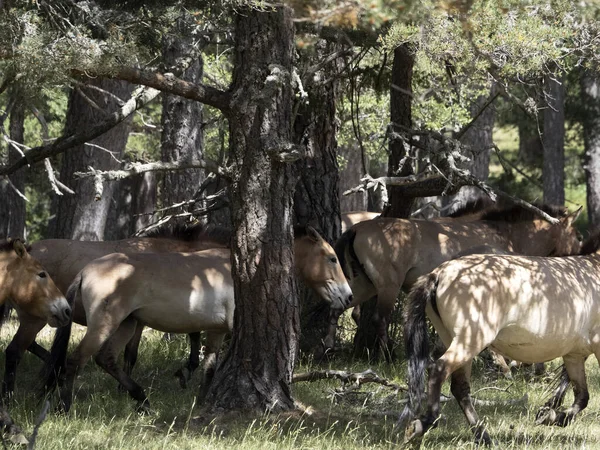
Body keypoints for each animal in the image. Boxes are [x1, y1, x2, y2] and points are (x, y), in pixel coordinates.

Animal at [41, 227, 352, 414]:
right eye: (332, 258)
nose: (347, 297)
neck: (242, 271)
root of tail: (86, 271)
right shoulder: (229, 329)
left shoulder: (216, 330)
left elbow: (209, 367)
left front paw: (202, 401)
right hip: (105, 324)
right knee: (76, 360)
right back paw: (65, 406)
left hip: (127, 325)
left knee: (106, 359)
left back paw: (143, 400)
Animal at [330, 204, 584, 358]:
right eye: (578, 235)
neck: (510, 235)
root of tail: (356, 229)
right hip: (387, 286)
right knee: (378, 318)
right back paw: (387, 356)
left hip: (364, 285)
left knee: (339, 307)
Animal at [398, 232, 600, 446]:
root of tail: (439, 274)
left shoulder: (574, 355)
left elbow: (581, 396)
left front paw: (550, 415)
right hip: (470, 340)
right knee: (439, 370)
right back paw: (423, 424)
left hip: (455, 340)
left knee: (460, 389)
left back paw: (484, 437)